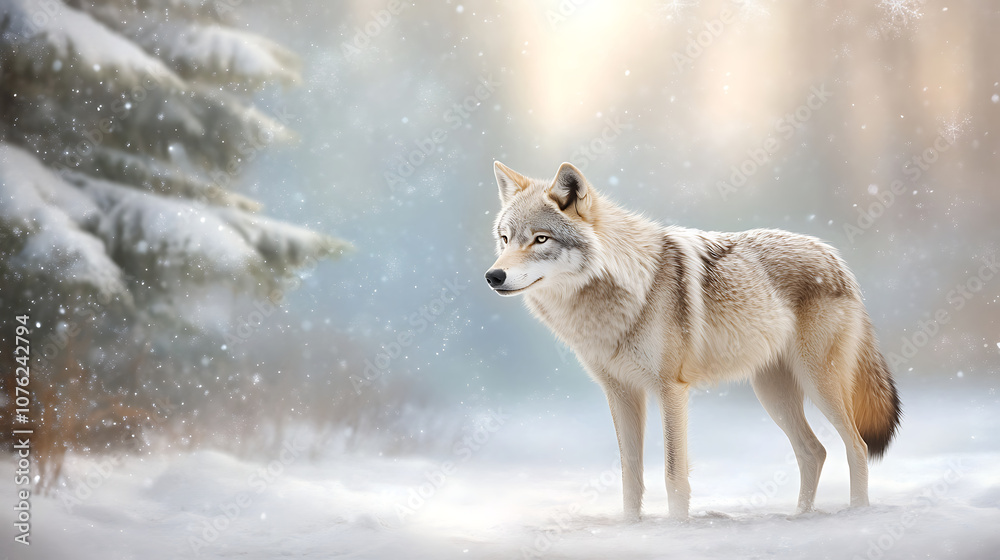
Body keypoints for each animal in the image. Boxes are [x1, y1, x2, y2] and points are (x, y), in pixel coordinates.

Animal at [484, 161, 901, 521]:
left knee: (857, 447)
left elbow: (673, 476)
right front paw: (632, 527)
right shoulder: (621, 393)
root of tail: (835, 257)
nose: (493, 276)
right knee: (814, 452)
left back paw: (857, 515)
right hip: (773, 394)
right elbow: (630, 477)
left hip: (818, 385)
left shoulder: (671, 390)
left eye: (540, 239)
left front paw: (677, 527)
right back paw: (799, 518)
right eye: (505, 239)